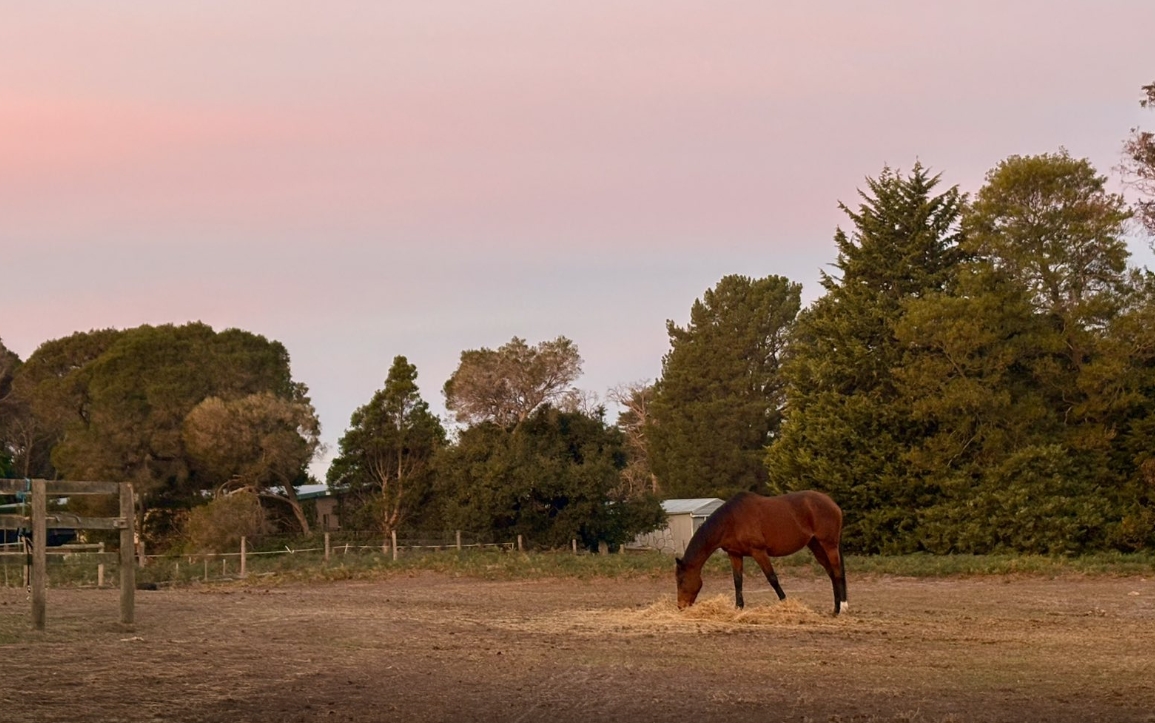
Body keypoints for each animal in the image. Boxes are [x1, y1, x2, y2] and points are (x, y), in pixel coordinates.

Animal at [674, 490, 848, 615]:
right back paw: (835, 609)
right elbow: (738, 581)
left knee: (837, 573)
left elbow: (772, 579)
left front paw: (785, 604)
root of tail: (833, 503)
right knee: (831, 573)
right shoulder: (735, 554)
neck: (731, 520)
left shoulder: (759, 552)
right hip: (816, 546)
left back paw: (842, 608)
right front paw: (738, 607)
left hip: (829, 545)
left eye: (681, 580)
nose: (680, 607)